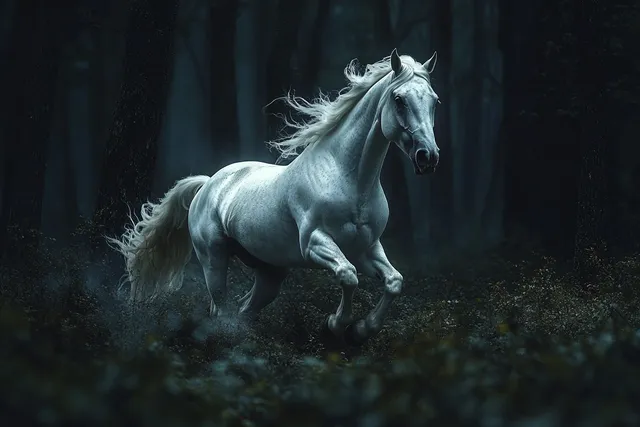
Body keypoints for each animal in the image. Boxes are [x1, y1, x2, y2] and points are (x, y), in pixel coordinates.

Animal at [108, 48, 440, 345]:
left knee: (244, 308)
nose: (428, 157)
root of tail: (208, 183)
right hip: (213, 258)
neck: (350, 180)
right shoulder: (315, 243)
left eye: (434, 101)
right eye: (399, 99)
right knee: (221, 310)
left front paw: (361, 330)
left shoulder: (367, 248)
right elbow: (348, 276)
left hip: (271, 272)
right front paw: (335, 325)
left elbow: (394, 282)